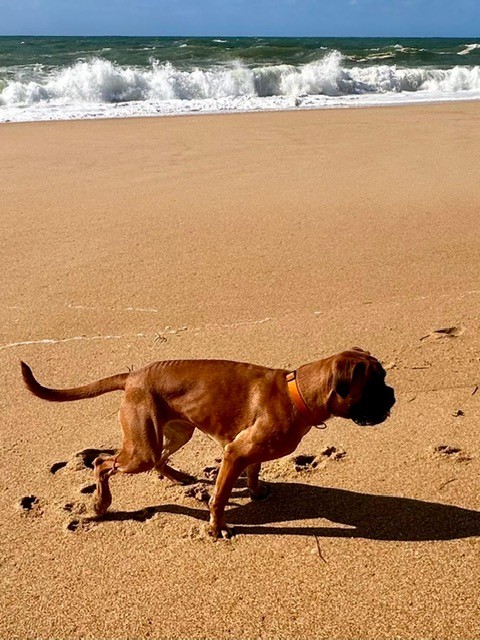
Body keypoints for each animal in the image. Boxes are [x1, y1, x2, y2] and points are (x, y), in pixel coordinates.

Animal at [21, 348, 395, 538]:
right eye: (374, 387)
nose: (392, 395)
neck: (297, 392)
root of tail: (133, 375)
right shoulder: (234, 453)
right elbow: (220, 498)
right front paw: (216, 528)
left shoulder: (248, 454)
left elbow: (253, 473)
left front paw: (255, 492)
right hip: (139, 452)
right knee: (102, 462)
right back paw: (100, 504)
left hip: (175, 433)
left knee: (160, 460)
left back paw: (182, 479)